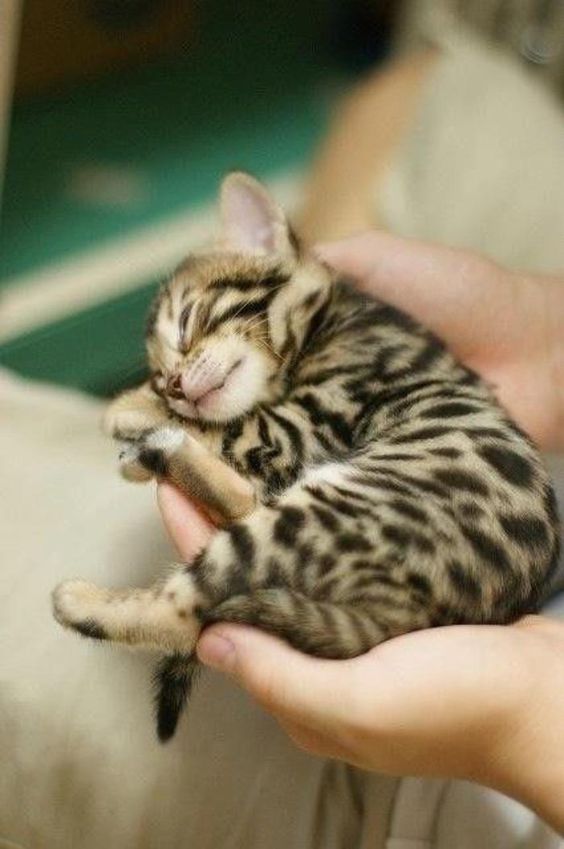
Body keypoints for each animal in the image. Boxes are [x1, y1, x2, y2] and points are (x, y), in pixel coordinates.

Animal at [51, 174, 560, 744]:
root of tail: (416, 613)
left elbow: (232, 423)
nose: (174, 387)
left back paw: (81, 592)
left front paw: (126, 407)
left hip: (314, 515)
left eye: (186, 324)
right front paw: (145, 417)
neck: (324, 319)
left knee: (183, 613)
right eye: (161, 374)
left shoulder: (305, 425)